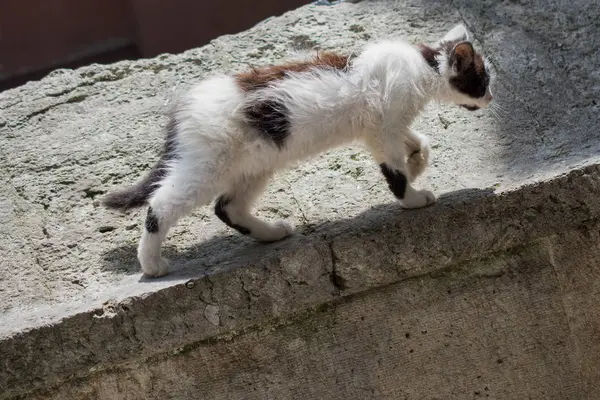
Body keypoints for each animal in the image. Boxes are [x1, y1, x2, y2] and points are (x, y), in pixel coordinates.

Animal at [103, 23, 494, 276]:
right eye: (483, 80)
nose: (492, 97)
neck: (421, 66)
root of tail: (182, 110)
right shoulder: (383, 130)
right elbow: (394, 169)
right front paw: (411, 197)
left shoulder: (383, 128)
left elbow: (419, 143)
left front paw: (415, 164)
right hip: (207, 166)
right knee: (161, 205)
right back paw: (152, 265)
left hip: (255, 165)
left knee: (227, 207)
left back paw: (270, 233)